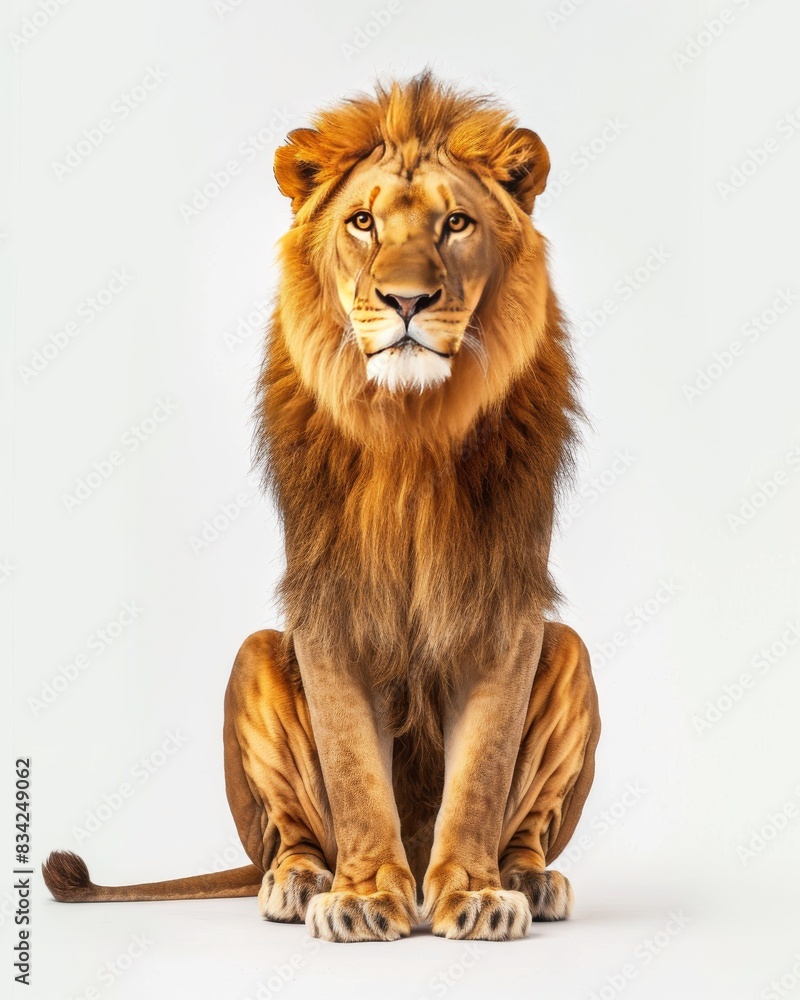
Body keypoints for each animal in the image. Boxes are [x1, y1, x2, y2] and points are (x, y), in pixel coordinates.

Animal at [43, 71, 600, 943]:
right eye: (363, 222)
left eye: (457, 222)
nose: (407, 301)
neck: (411, 430)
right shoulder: (327, 605)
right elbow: (353, 769)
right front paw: (364, 896)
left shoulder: (504, 604)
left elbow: (480, 775)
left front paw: (475, 893)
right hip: (253, 660)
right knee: (290, 836)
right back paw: (299, 882)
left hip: (569, 650)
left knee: (527, 822)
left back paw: (526, 877)